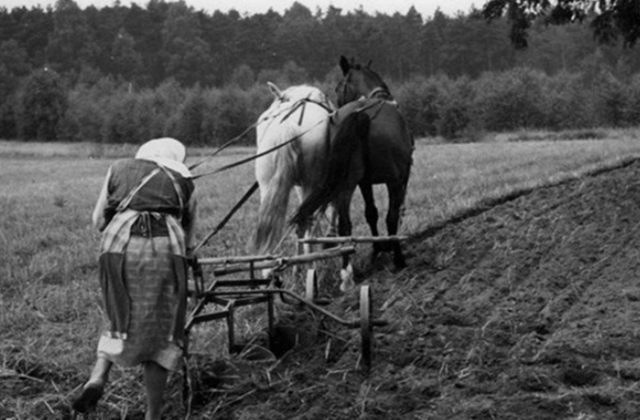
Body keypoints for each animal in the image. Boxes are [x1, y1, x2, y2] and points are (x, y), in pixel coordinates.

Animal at [292, 56, 412, 288]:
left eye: (338, 87)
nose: (335, 104)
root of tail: (361, 115)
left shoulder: (364, 183)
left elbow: (371, 214)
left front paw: (376, 250)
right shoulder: (398, 179)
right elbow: (390, 216)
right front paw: (390, 252)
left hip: (345, 184)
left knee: (344, 224)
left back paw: (346, 274)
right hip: (390, 180)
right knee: (390, 217)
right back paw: (397, 258)